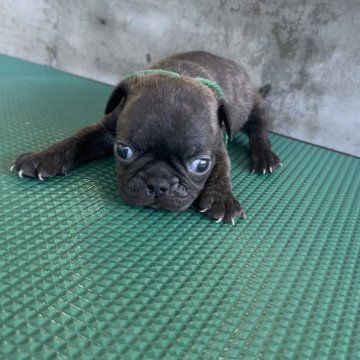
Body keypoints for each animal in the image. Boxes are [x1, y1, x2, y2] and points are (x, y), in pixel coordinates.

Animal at [11, 51, 282, 224]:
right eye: (123, 151)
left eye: (200, 165)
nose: (158, 183)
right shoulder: (106, 129)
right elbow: (74, 141)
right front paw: (42, 157)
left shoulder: (217, 146)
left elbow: (222, 169)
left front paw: (222, 197)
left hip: (255, 107)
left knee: (259, 129)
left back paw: (264, 156)